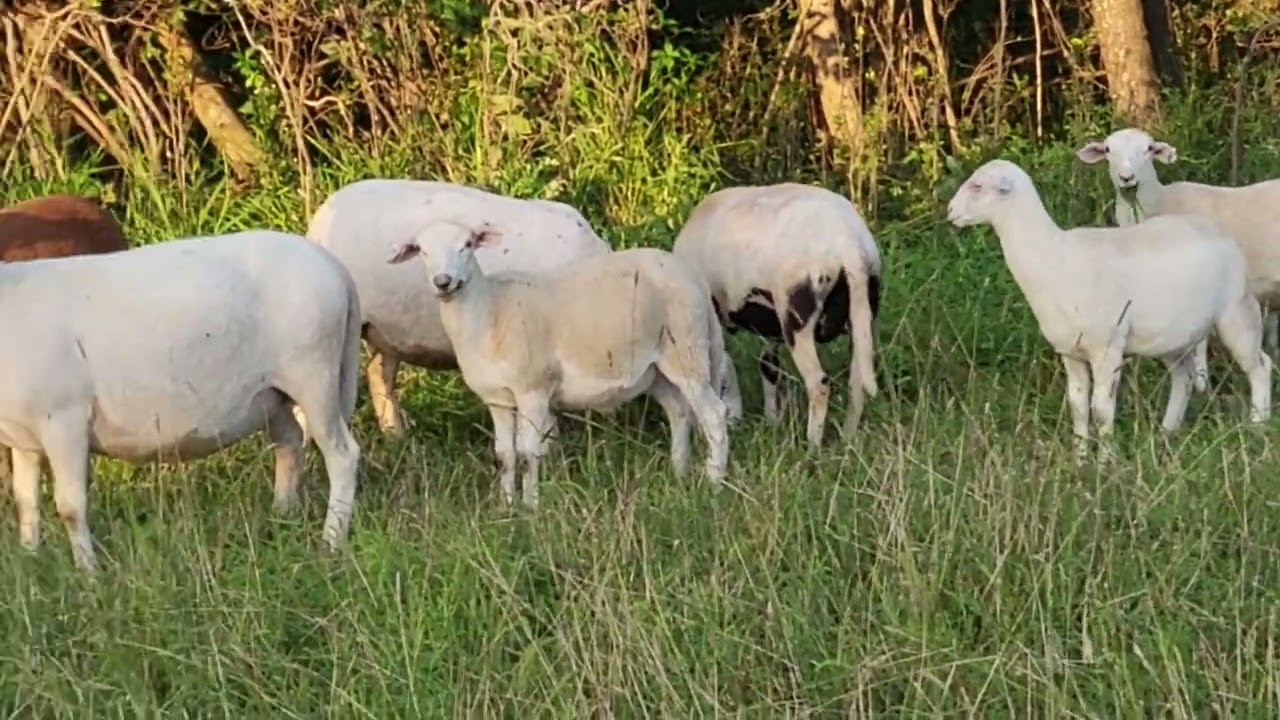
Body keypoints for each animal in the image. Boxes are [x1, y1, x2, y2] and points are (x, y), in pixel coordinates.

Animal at [0, 229, 363, 570]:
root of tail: (336, 269)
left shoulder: (64, 419)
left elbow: (70, 506)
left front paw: (88, 574)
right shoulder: (25, 438)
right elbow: (26, 502)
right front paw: (30, 558)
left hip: (314, 375)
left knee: (343, 456)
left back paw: (330, 541)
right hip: (274, 394)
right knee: (289, 444)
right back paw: (281, 516)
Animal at [386, 219, 731, 509]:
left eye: (467, 245)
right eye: (422, 250)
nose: (443, 282)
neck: (490, 312)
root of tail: (693, 279)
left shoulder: (533, 390)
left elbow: (528, 453)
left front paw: (531, 508)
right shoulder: (498, 399)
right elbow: (505, 455)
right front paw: (507, 507)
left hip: (687, 351)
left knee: (714, 415)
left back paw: (714, 482)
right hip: (655, 369)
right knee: (679, 412)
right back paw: (679, 474)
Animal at [671, 182, 881, 450]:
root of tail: (848, 246)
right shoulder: (772, 332)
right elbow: (769, 368)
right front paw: (772, 422)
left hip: (797, 321)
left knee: (819, 384)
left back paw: (812, 447)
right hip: (861, 318)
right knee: (857, 381)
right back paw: (848, 439)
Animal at [947, 158, 1272, 462]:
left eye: (977, 186)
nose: (950, 212)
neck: (1053, 257)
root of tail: (1216, 230)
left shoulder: (1107, 348)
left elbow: (1102, 410)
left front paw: (1105, 463)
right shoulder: (1070, 352)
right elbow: (1078, 407)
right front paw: (1080, 460)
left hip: (1237, 312)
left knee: (1260, 367)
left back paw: (1258, 426)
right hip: (1173, 336)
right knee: (1185, 378)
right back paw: (1167, 432)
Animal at [1076, 127, 1280, 391]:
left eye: (1149, 149)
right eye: (1108, 150)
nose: (1126, 177)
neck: (1158, 202)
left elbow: (1199, 342)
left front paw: (1202, 385)